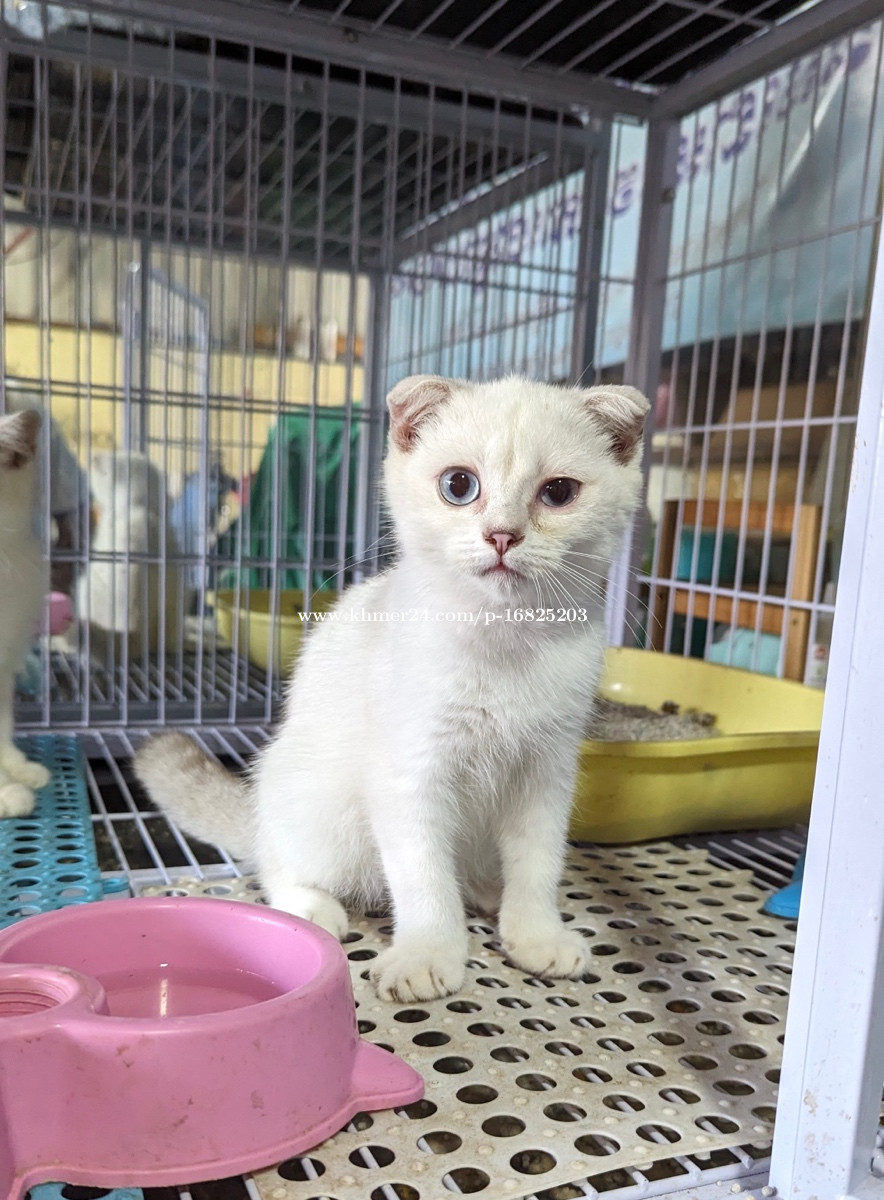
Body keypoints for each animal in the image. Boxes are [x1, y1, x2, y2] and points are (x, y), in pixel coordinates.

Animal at [137, 374, 647, 1003]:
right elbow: (423, 875)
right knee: (276, 861)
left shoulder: (547, 770)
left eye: (558, 492)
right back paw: (310, 905)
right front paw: (427, 954)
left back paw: (487, 889)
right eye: (459, 485)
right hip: (319, 810)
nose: (502, 534)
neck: (503, 641)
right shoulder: (408, 772)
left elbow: (537, 863)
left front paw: (536, 933)